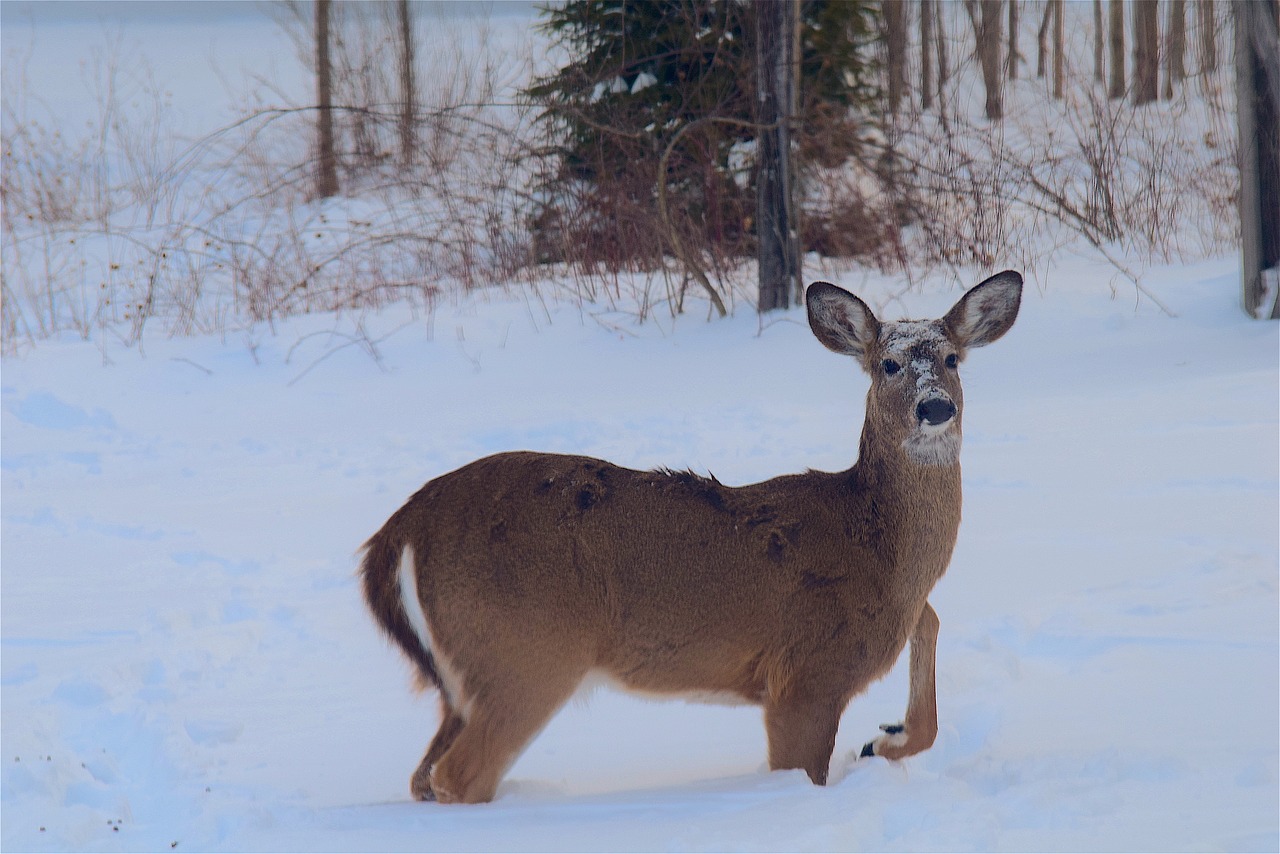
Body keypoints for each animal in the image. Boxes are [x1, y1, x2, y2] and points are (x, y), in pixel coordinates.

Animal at [358, 270, 1018, 804]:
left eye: (953, 358)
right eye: (888, 364)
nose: (935, 409)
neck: (882, 554)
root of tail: (397, 530)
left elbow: (932, 645)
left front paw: (883, 739)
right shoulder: (805, 675)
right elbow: (801, 775)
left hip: (465, 673)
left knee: (424, 776)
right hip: (525, 650)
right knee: (459, 776)